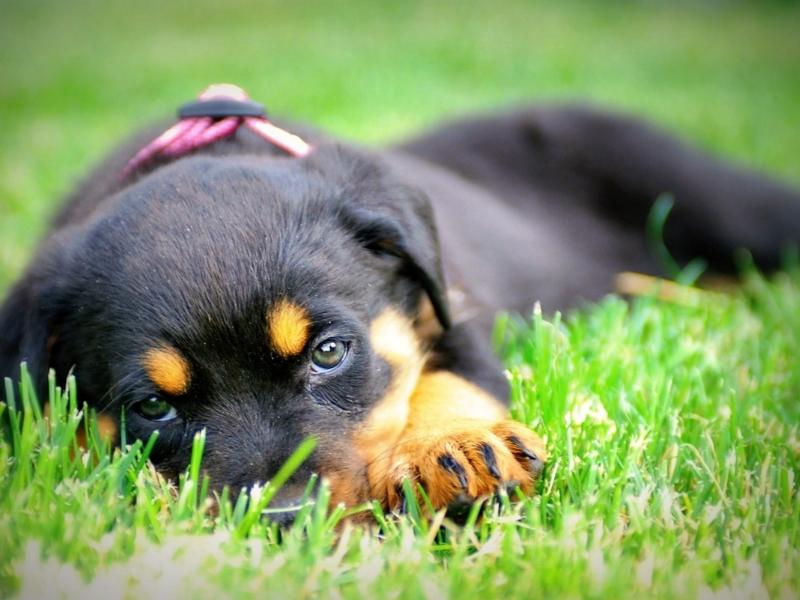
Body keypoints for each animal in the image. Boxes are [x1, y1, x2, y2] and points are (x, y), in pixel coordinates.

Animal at [1, 85, 800, 520]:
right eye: (152, 408)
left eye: (329, 353)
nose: (286, 522)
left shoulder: (454, 311)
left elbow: (445, 379)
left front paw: (450, 448)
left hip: (720, 202)